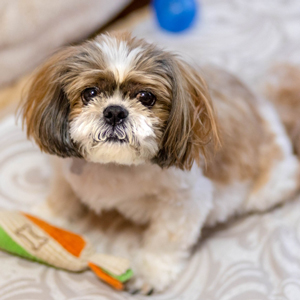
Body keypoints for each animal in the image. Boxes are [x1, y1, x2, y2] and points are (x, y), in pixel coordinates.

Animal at [21, 32, 300, 292]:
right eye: (90, 93)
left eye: (146, 97)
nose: (115, 111)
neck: (113, 165)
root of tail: (267, 107)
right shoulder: (63, 172)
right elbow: (61, 197)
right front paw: (44, 220)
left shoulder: (185, 201)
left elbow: (165, 240)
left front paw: (149, 273)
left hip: (268, 187)